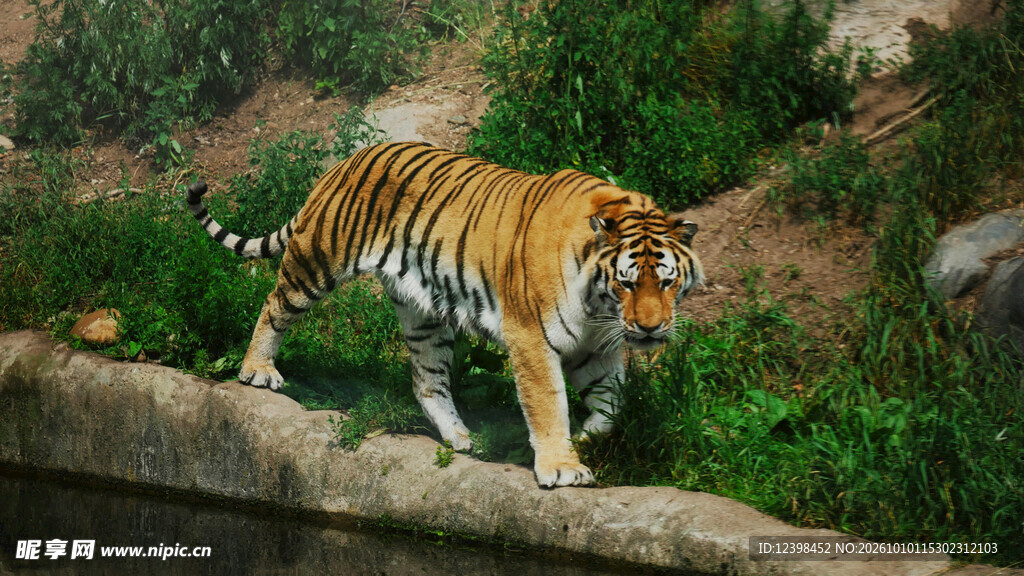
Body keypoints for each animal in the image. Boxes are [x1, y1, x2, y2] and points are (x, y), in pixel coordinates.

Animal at [186, 141, 704, 488]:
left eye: (666, 281)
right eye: (627, 282)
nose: (651, 329)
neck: (600, 308)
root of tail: (347, 160)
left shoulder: (595, 346)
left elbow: (613, 402)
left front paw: (587, 439)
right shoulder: (532, 338)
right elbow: (547, 403)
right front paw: (561, 466)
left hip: (424, 315)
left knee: (426, 380)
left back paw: (462, 439)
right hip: (316, 261)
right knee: (274, 306)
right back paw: (257, 371)